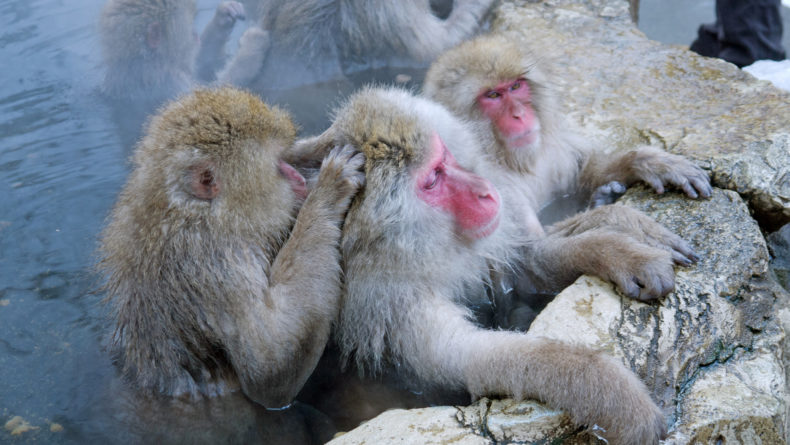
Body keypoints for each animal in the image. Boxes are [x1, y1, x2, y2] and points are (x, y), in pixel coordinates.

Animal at [100, 86, 368, 406]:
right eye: (280, 169)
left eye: (285, 159)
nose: (299, 179)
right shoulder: (213, 263)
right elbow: (271, 365)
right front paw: (329, 190)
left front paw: (323, 142)